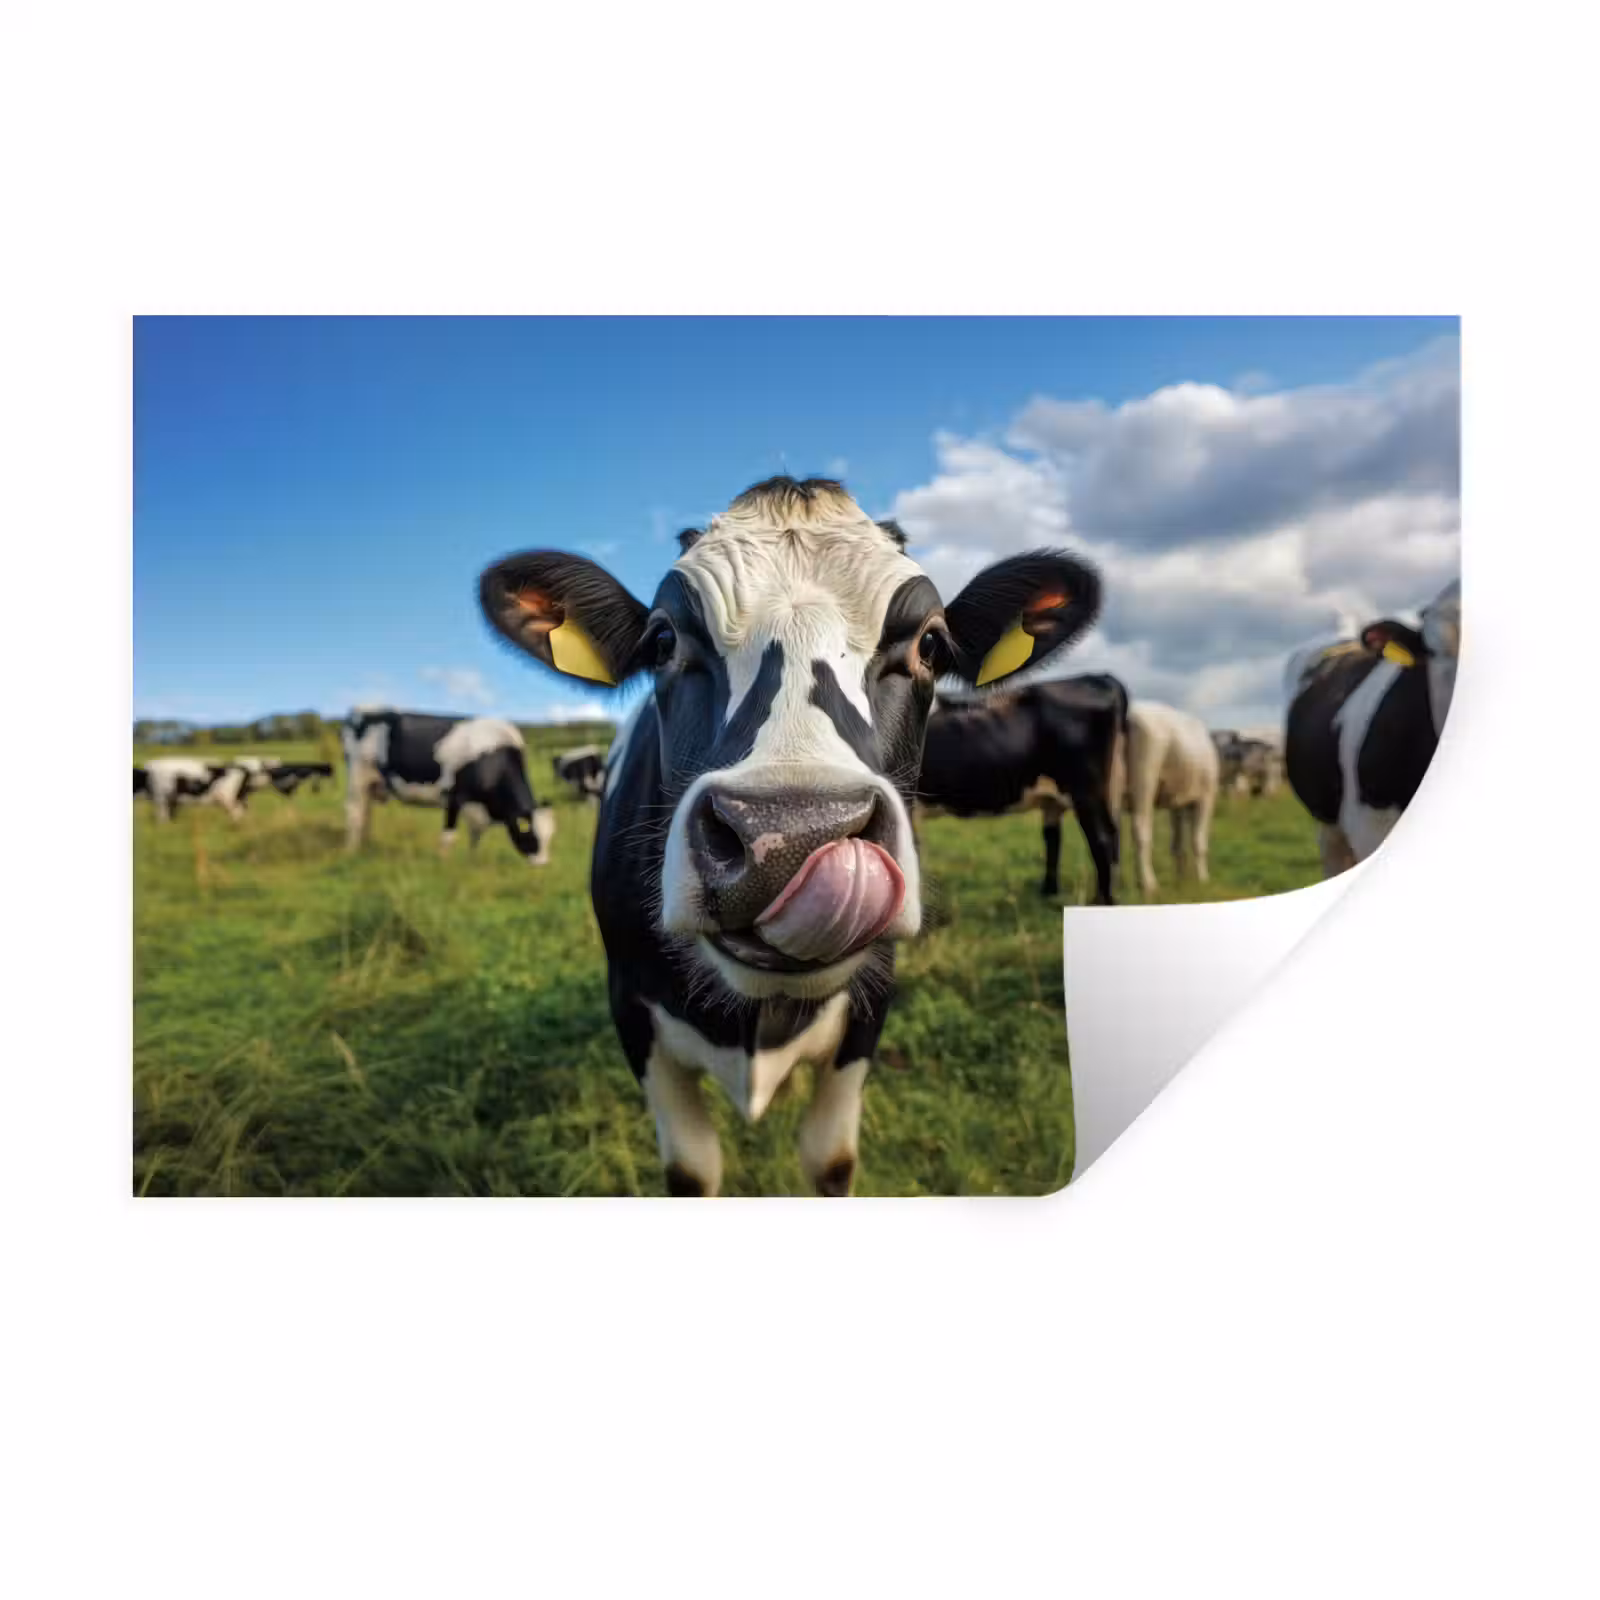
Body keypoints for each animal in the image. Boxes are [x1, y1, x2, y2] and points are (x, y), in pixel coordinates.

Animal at [340, 709, 555, 862]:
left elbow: (475, 837)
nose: (542, 865)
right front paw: (443, 863)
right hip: (357, 779)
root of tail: (362, 711)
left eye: (550, 837)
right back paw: (351, 851)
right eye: (532, 836)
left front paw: (471, 862)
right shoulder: (454, 797)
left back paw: (365, 847)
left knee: (366, 814)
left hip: (371, 784)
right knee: (354, 814)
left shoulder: (477, 808)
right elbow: (449, 837)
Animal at [478, 475, 1101, 1196]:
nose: (790, 838)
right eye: (662, 641)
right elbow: (692, 1169)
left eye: (931, 645)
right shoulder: (632, 1011)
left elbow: (830, 1159)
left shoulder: (870, 1010)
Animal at [915, 674, 1128, 904]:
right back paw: (1051, 894)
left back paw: (1101, 901)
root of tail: (1097, 677)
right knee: (1066, 837)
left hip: (1086, 791)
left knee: (1102, 839)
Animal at [1124, 701, 1221, 896]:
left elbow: (1177, 844)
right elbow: (1198, 841)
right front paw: (1203, 880)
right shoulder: (1207, 797)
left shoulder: (1176, 803)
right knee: (1141, 829)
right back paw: (1148, 884)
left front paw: (1181, 880)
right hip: (1144, 779)